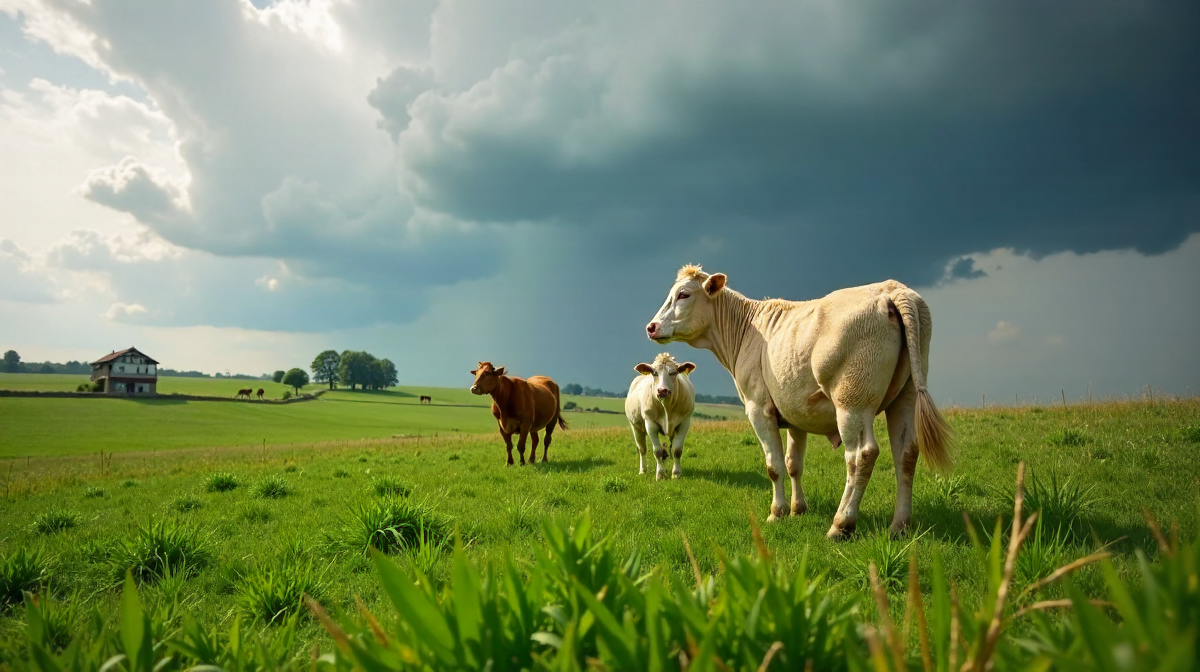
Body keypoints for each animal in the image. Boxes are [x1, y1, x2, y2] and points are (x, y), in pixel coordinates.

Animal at [645, 265, 953, 539]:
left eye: (683, 294)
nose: (651, 326)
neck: (745, 332)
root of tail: (892, 288)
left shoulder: (758, 408)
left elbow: (774, 465)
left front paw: (776, 512)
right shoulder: (796, 412)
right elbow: (793, 463)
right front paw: (797, 509)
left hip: (852, 401)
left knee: (860, 455)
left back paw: (841, 525)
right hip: (906, 396)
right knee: (906, 453)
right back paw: (899, 526)